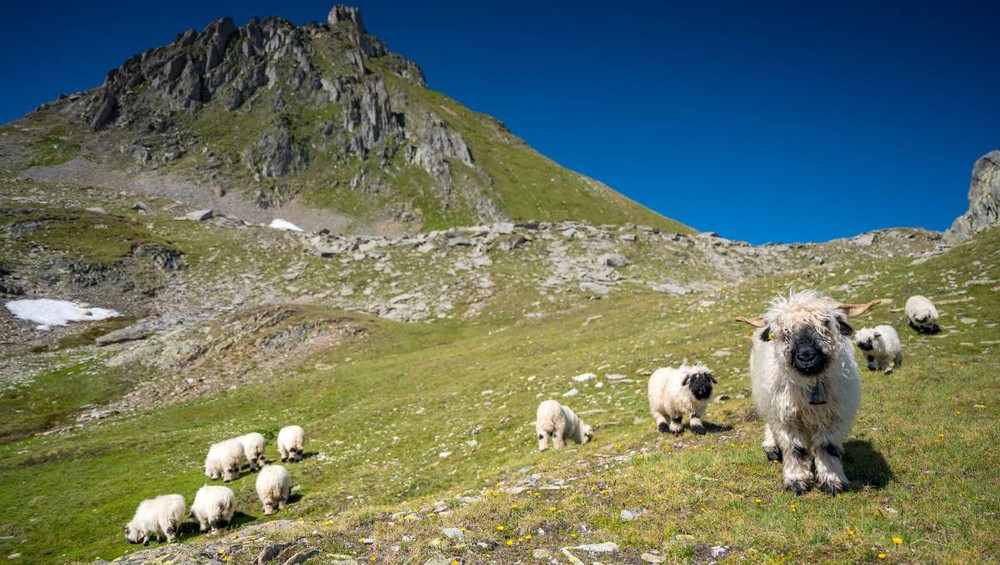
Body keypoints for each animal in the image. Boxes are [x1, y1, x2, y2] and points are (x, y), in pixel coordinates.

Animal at [736, 290, 884, 494]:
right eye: (785, 332)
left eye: (826, 323)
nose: (806, 357)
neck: (812, 385)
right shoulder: (786, 417)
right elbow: (795, 449)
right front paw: (796, 481)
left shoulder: (833, 418)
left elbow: (826, 447)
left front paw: (832, 481)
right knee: (770, 424)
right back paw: (772, 448)